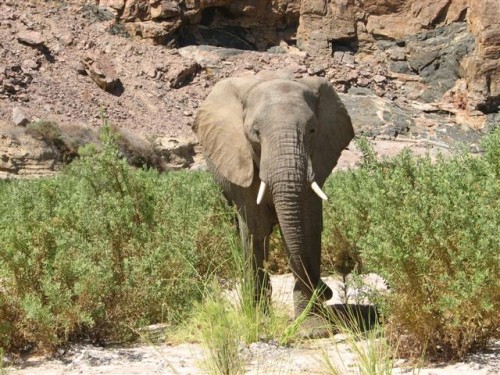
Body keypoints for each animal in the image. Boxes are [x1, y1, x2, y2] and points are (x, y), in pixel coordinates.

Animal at [193, 71, 354, 318]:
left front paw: (310, 321)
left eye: (312, 130)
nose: (326, 291)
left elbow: (308, 226)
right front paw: (258, 317)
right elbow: (255, 228)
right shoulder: (239, 160)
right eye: (256, 133)